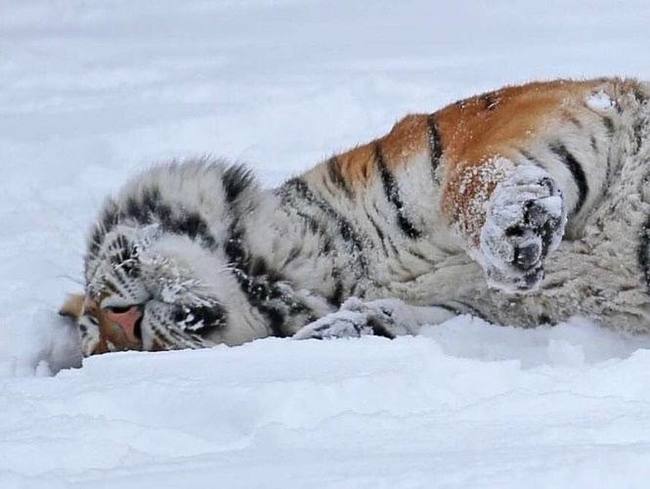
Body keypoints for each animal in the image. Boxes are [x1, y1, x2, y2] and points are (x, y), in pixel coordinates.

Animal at [60, 78, 650, 356]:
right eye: (109, 347)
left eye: (101, 300)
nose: (124, 322)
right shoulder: (478, 312)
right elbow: (393, 321)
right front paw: (334, 333)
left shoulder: (516, 120)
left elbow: (475, 177)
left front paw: (516, 226)